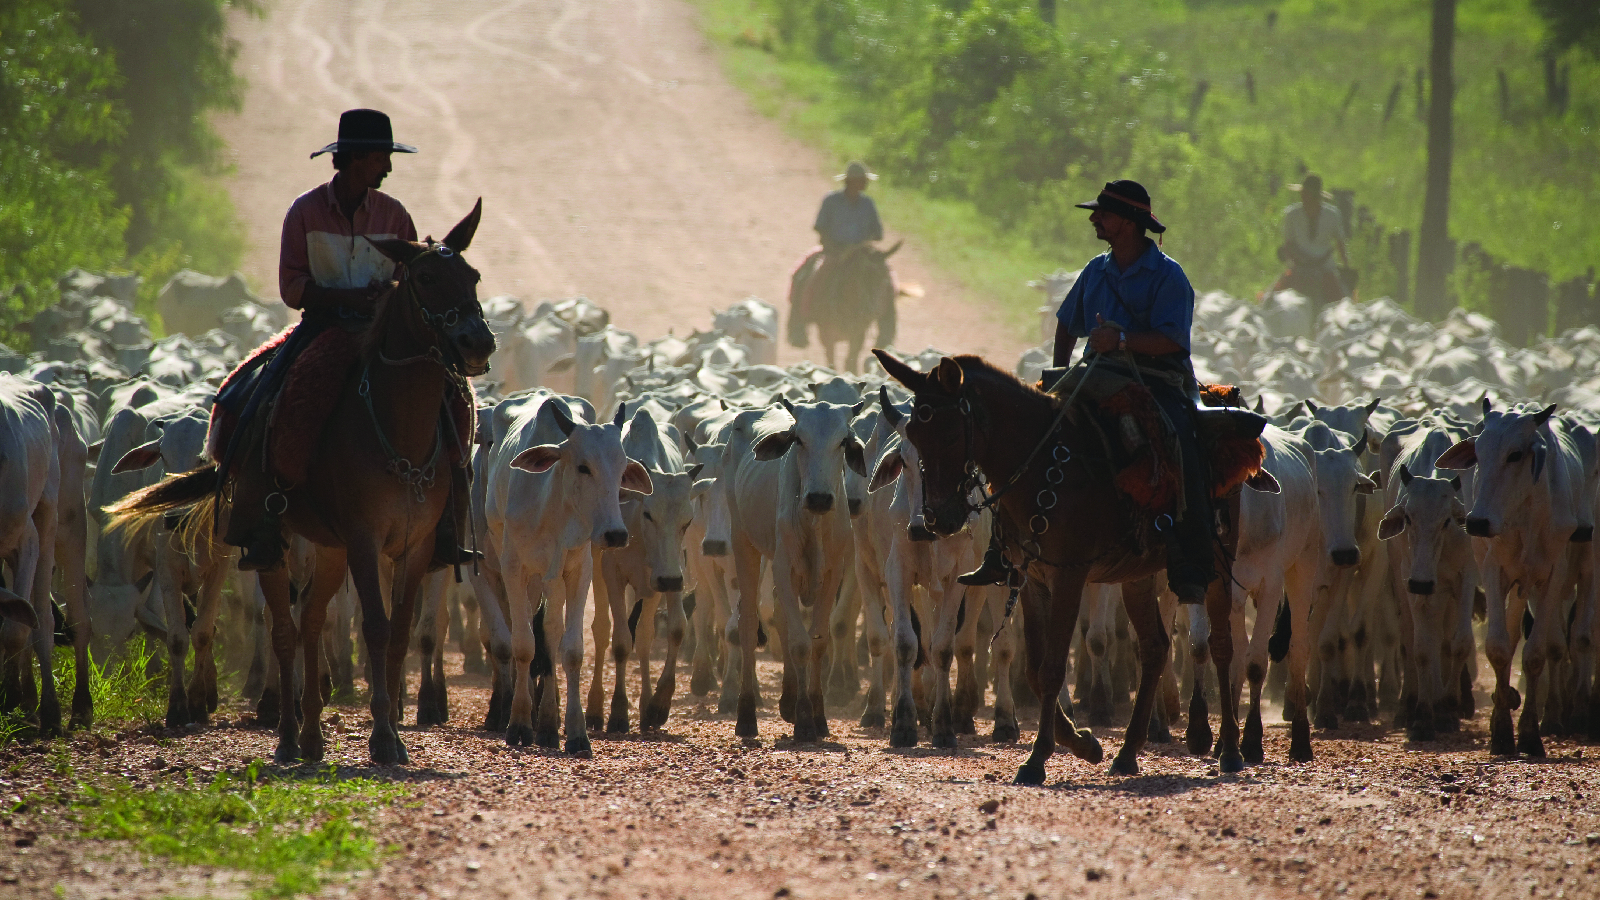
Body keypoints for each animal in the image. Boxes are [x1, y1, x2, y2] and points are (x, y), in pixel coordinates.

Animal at [108, 199, 492, 759]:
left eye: (473, 275)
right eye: (424, 277)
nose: (477, 341)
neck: (398, 431)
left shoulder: (416, 545)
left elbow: (399, 631)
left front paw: (394, 731)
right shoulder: (364, 539)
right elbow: (375, 627)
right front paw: (382, 735)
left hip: (328, 547)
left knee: (311, 621)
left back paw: (312, 733)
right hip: (274, 543)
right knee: (285, 629)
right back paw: (288, 734)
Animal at [876, 347, 1248, 781]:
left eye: (952, 435)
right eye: (914, 440)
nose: (936, 520)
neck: (1044, 467)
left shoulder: (1069, 577)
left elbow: (1053, 666)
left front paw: (1037, 759)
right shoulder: (1031, 579)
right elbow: (1035, 669)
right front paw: (1083, 742)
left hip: (1219, 563)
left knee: (1221, 645)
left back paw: (1230, 750)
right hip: (1137, 576)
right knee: (1155, 647)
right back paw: (1128, 752)